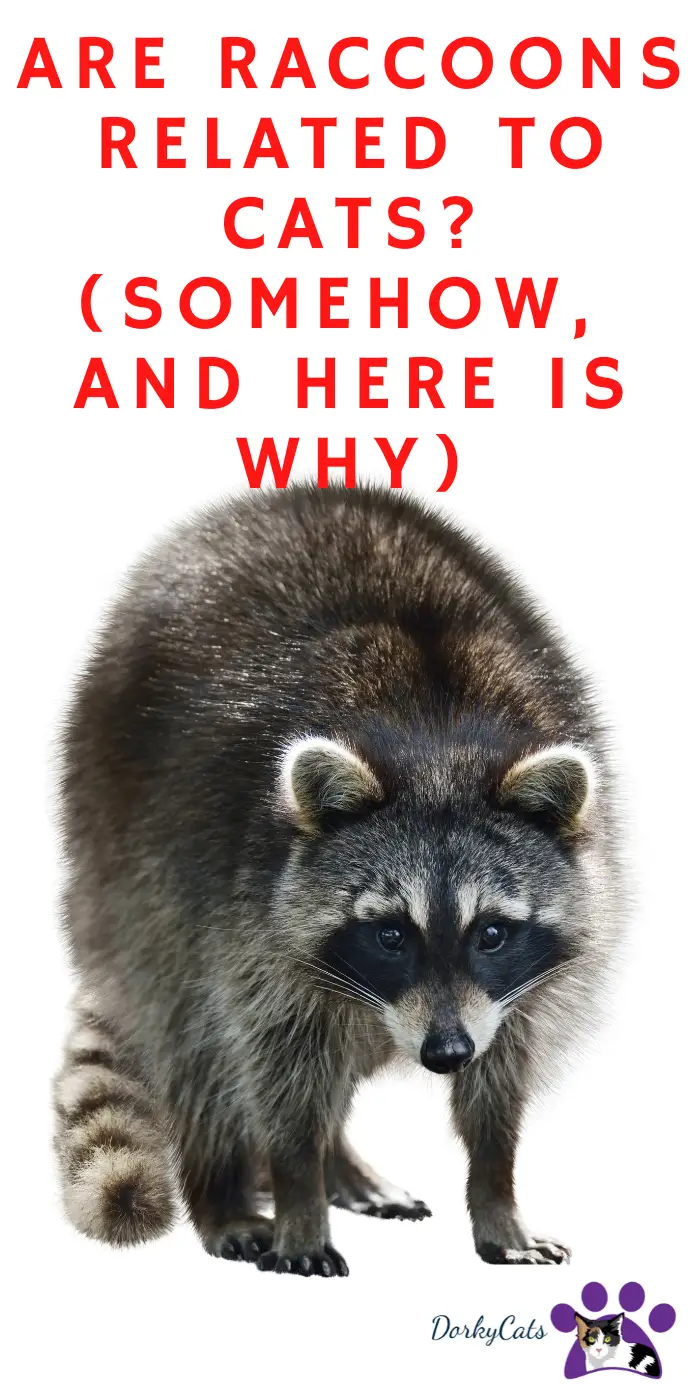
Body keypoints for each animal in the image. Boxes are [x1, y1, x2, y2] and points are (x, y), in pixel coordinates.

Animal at [54, 484, 623, 1274]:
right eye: (390, 934)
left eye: (492, 932)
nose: (444, 1054)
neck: (436, 743)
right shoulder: (244, 908)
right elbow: (278, 1066)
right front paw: (298, 1193)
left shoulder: (513, 985)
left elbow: (501, 1075)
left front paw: (497, 1194)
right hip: (125, 849)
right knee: (197, 1039)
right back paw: (224, 1191)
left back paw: (339, 1165)